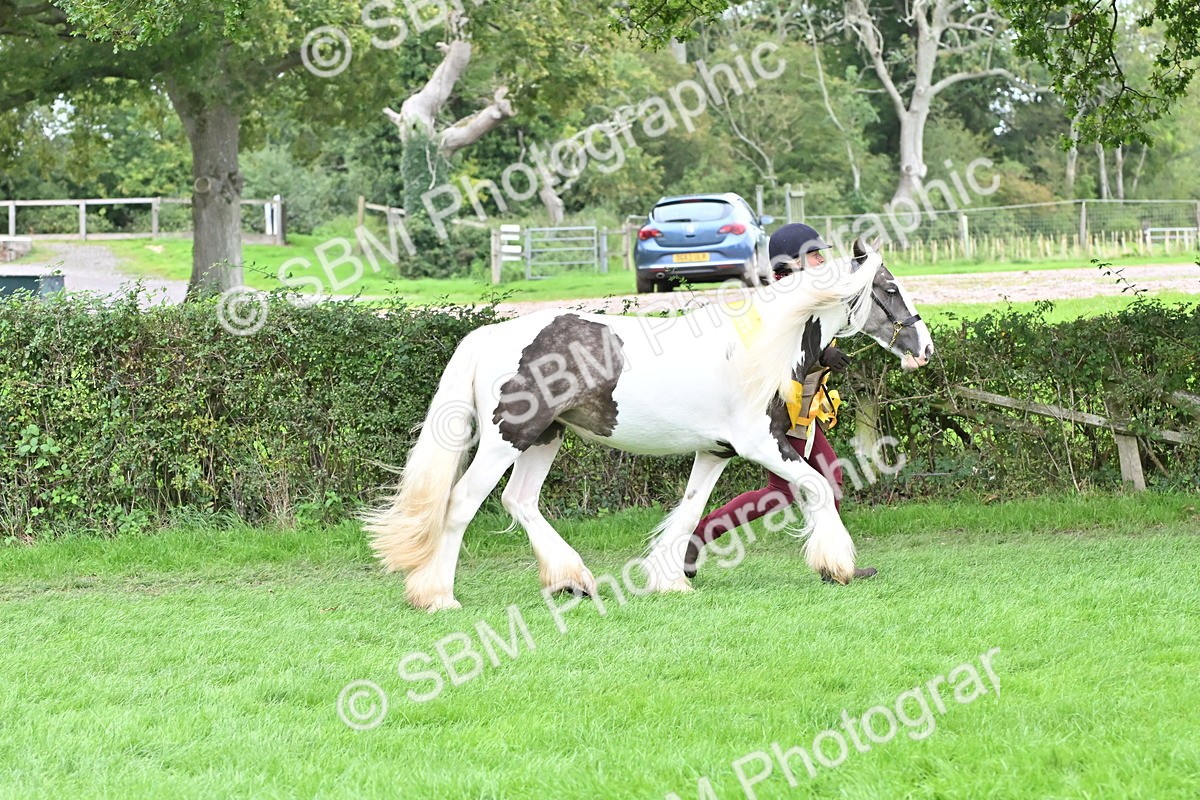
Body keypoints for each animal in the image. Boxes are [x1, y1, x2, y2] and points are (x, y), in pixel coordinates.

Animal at [364, 237, 935, 611]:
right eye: (889, 288)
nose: (925, 350)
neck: (761, 349)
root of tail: (489, 337)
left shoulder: (716, 451)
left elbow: (692, 509)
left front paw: (672, 579)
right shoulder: (761, 444)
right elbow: (815, 487)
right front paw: (837, 565)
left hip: (545, 437)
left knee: (519, 501)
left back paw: (572, 580)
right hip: (509, 438)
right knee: (462, 503)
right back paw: (438, 596)